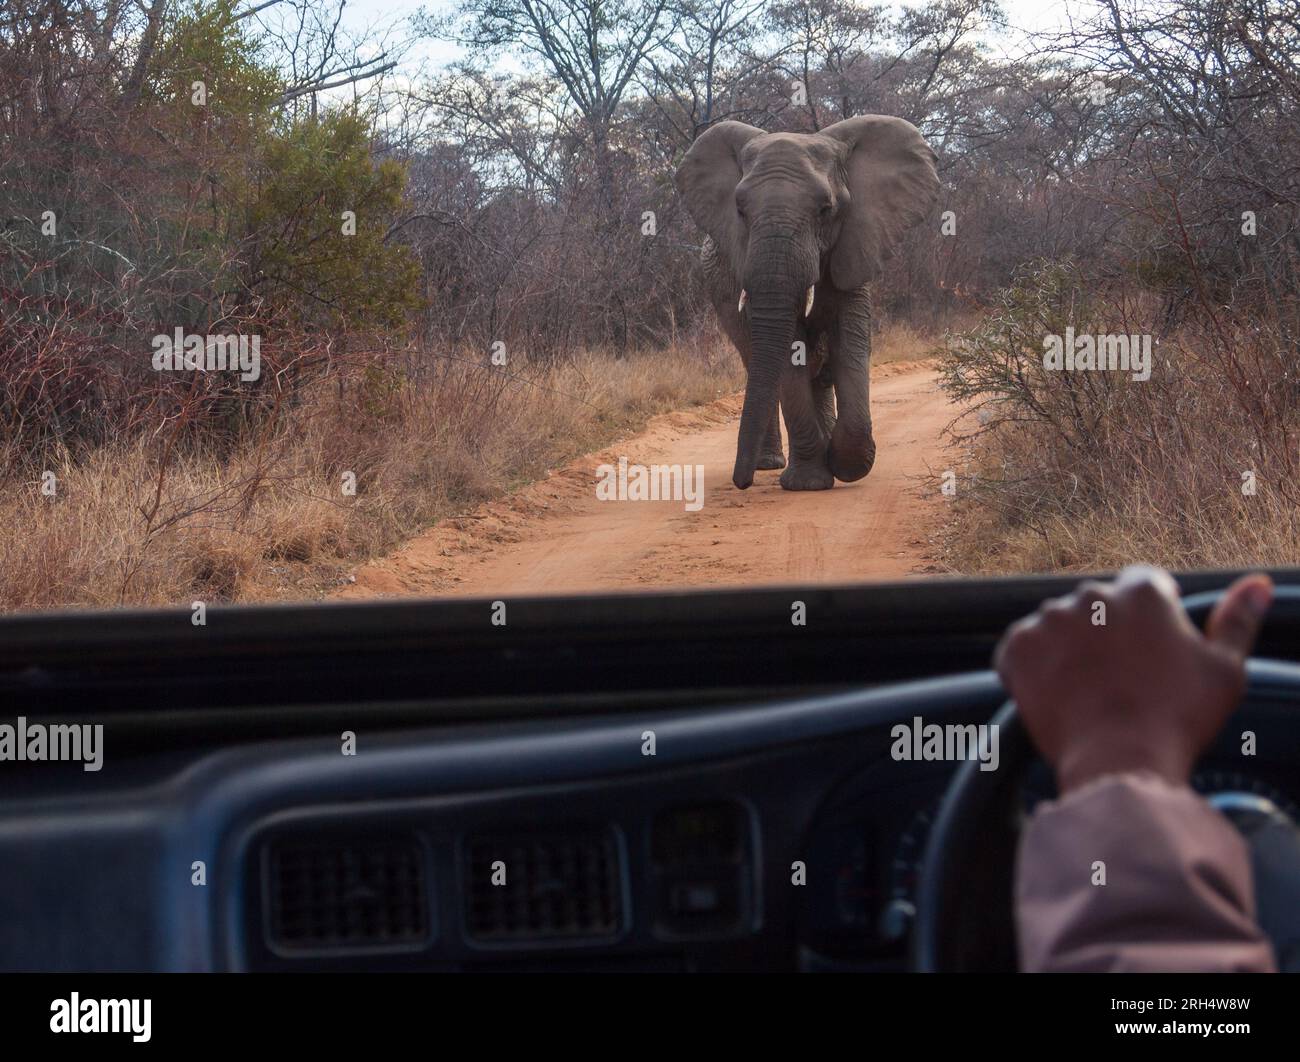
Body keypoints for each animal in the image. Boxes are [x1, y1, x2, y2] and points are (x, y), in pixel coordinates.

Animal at [676, 116, 941, 493]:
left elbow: (849, 346)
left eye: (825, 210)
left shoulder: (856, 245)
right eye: (740, 211)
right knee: (757, 361)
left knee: (817, 371)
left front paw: (844, 464)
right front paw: (809, 483)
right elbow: (790, 353)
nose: (740, 483)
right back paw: (770, 464)